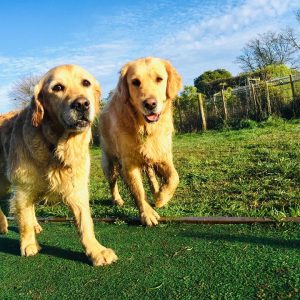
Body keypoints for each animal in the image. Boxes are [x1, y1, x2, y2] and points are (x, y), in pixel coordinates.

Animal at [0, 64, 118, 266]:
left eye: (85, 83)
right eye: (57, 88)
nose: (82, 104)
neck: (57, 146)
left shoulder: (77, 189)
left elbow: (86, 224)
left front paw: (96, 251)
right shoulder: (23, 187)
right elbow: (23, 221)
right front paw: (28, 245)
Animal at [99, 56, 182, 225]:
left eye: (159, 79)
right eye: (135, 82)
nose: (150, 104)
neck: (144, 127)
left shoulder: (162, 155)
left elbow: (174, 178)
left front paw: (161, 198)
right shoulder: (129, 162)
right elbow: (138, 191)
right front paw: (147, 214)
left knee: (151, 176)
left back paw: (156, 191)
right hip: (109, 162)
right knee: (113, 182)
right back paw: (117, 199)